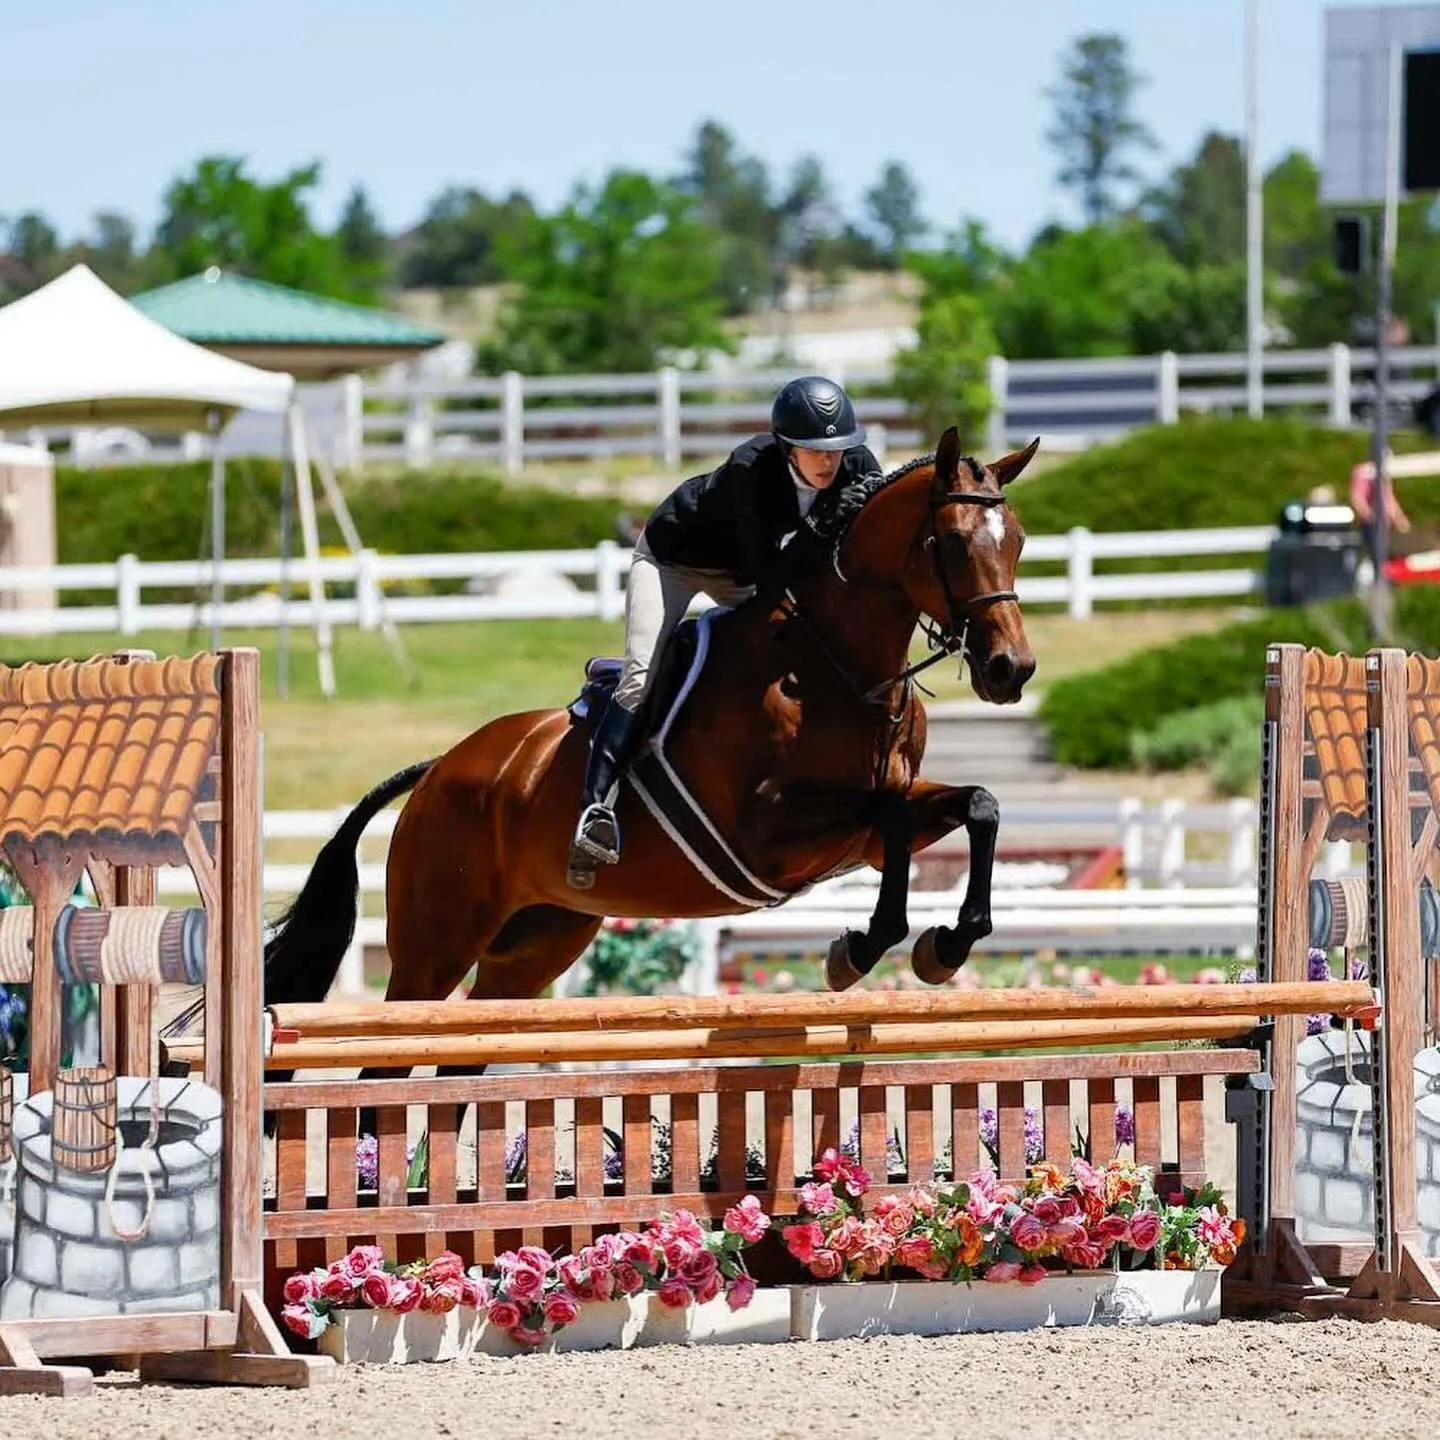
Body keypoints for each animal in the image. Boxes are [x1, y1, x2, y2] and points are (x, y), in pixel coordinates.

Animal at [261, 426, 1038, 1050]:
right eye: (950, 542)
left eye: (1020, 542)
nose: (1011, 670)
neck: (841, 667)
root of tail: (438, 770)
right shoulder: (769, 835)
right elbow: (893, 816)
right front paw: (860, 949)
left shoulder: (867, 829)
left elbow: (976, 805)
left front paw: (946, 945)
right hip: (434, 948)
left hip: (532, 949)